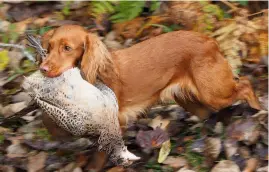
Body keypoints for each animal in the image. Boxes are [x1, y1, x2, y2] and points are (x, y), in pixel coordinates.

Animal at [38, 24, 260, 171]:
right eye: (49, 47)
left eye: (67, 48)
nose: (43, 69)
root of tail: (211, 41)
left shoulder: (113, 121)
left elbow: (101, 152)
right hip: (186, 97)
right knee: (208, 112)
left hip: (212, 92)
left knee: (245, 84)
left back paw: (256, 108)